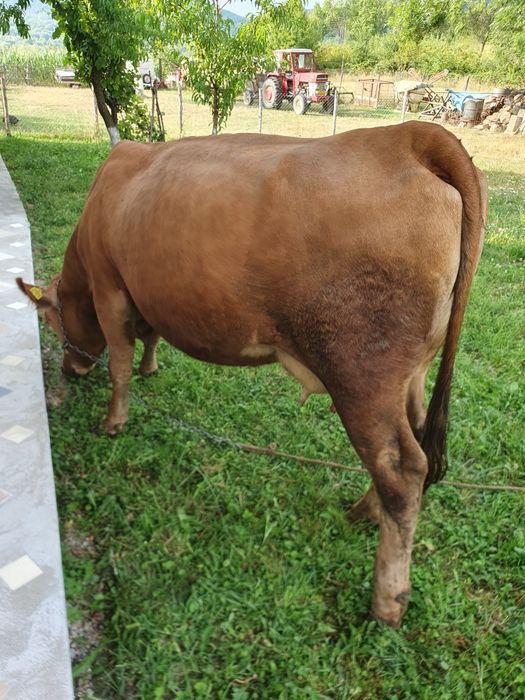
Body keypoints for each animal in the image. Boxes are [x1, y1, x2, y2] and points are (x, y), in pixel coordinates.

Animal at [18, 121, 487, 627]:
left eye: (50, 320)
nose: (71, 368)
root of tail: (409, 137)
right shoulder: (146, 292)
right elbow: (150, 336)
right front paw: (151, 367)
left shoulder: (110, 287)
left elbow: (120, 361)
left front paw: (113, 420)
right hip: (411, 375)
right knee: (414, 445)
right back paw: (365, 511)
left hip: (363, 377)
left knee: (400, 467)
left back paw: (387, 598)